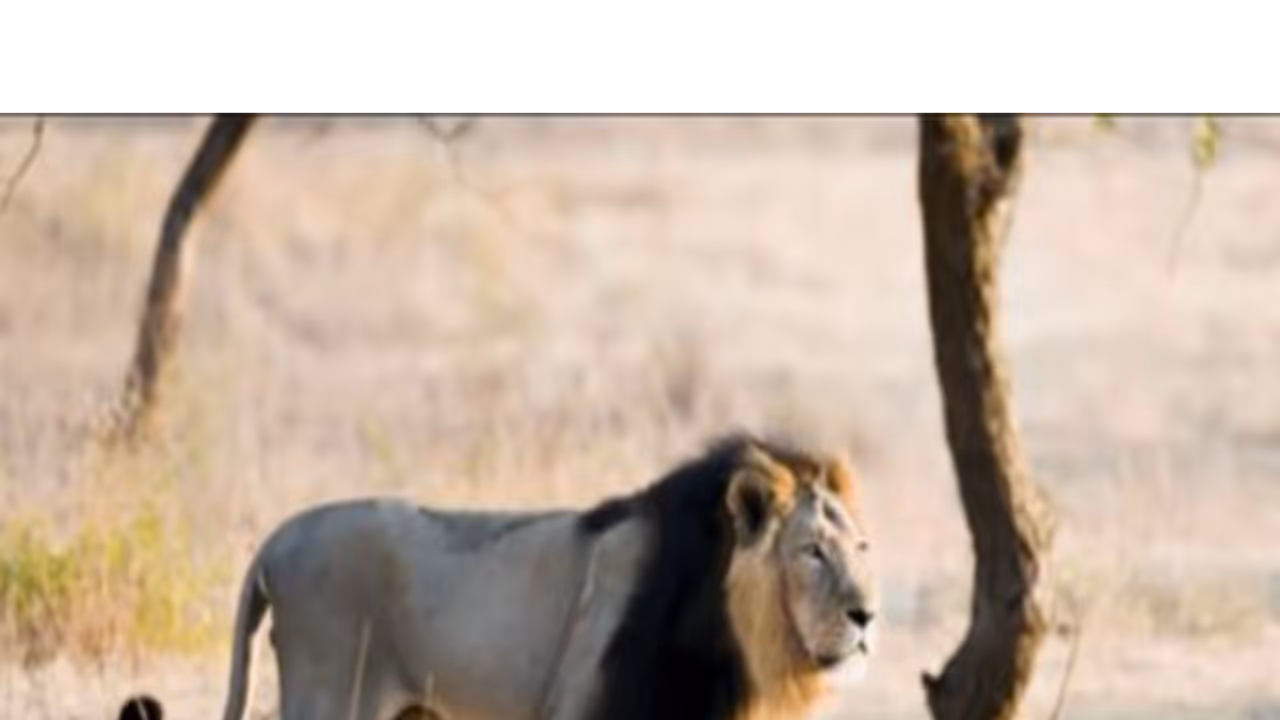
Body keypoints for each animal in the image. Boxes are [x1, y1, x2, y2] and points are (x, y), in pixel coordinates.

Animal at [139, 433, 877, 720]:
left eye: (862, 548)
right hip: (329, 696)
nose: (867, 616)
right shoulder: (581, 704)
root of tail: (274, 542)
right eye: (812, 551)